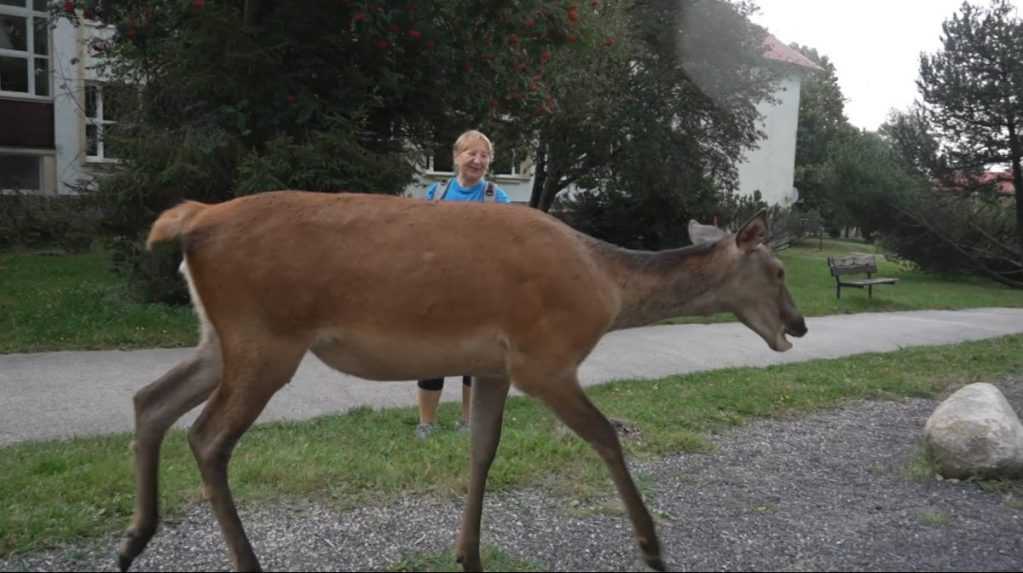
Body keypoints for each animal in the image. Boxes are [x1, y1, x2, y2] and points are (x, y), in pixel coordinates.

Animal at [117, 189, 806, 573]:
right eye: (776, 270)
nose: (798, 324)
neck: (607, 289)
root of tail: (194, 221)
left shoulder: (495, 366)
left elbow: (483, 450)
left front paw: (467, 554)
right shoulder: (544, 358)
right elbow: (607, 438)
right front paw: (651, 547)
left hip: (223, 339)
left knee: (150, 400)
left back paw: (134, 539)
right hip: (266, 339)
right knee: (206, 437)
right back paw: (241, 560)